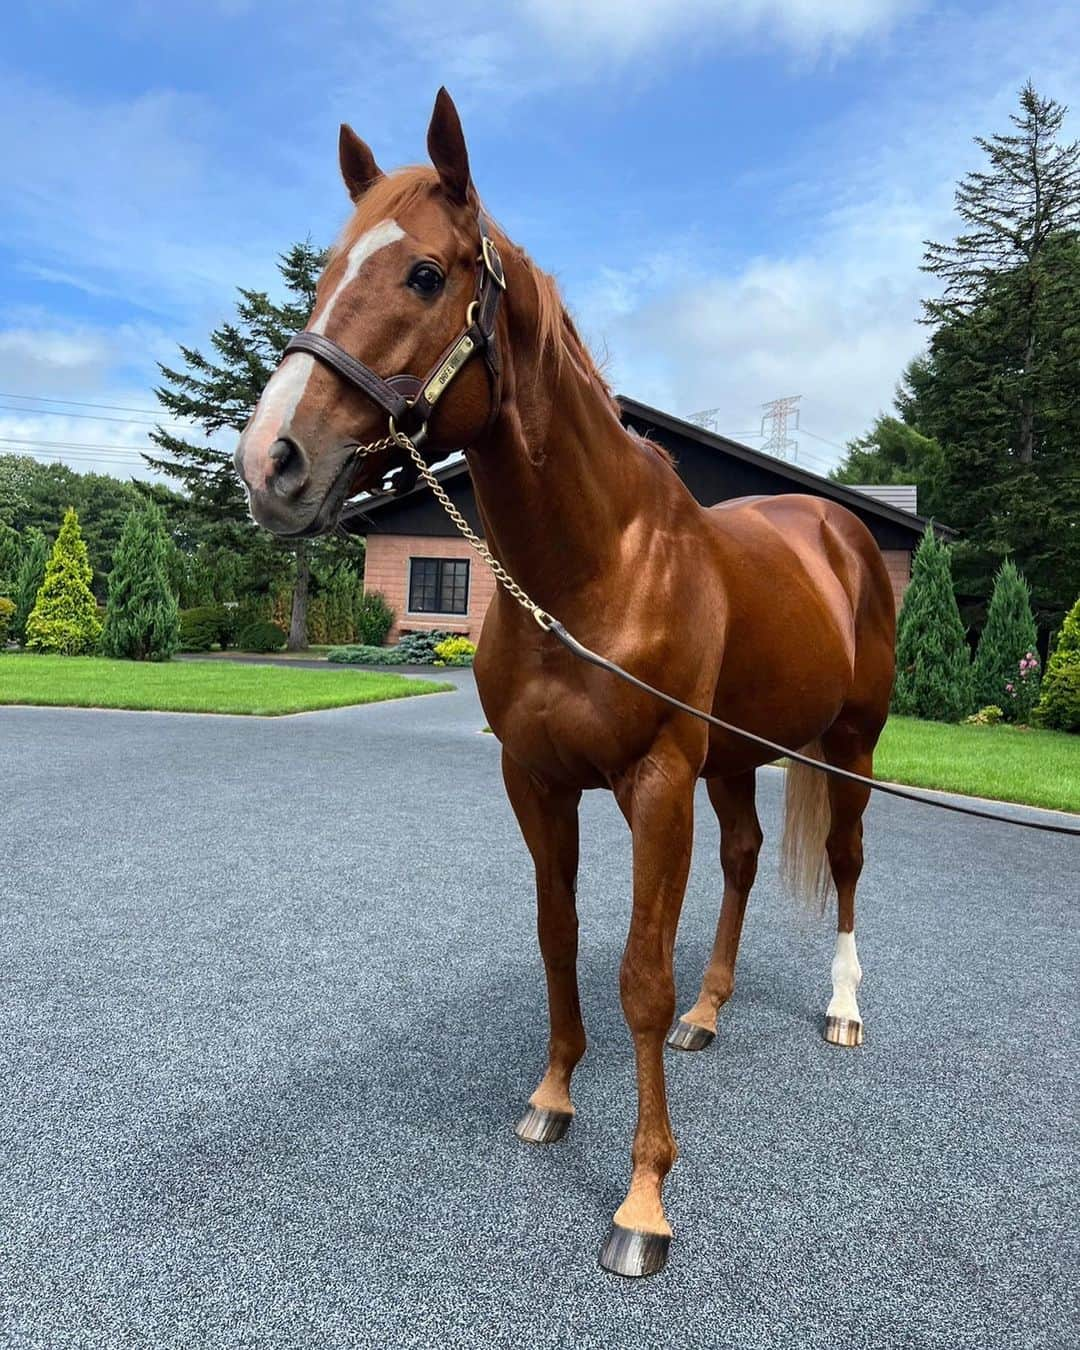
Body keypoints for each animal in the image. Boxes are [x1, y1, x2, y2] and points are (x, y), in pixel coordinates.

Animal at [233, 92, 896, 1274]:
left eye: (425, 274)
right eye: (324, 273)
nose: (273, 462)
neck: (600, 566)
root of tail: (838, 529)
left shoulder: (656, 781)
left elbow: (639, 974)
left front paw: (643, 1201)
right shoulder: (537, 781)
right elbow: (557, 941)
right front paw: (551, 1099)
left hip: (850, 745)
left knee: (848, 864)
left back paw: (843, 1010)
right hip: (735, 756)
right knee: (743, 858)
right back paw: (714, 1014)